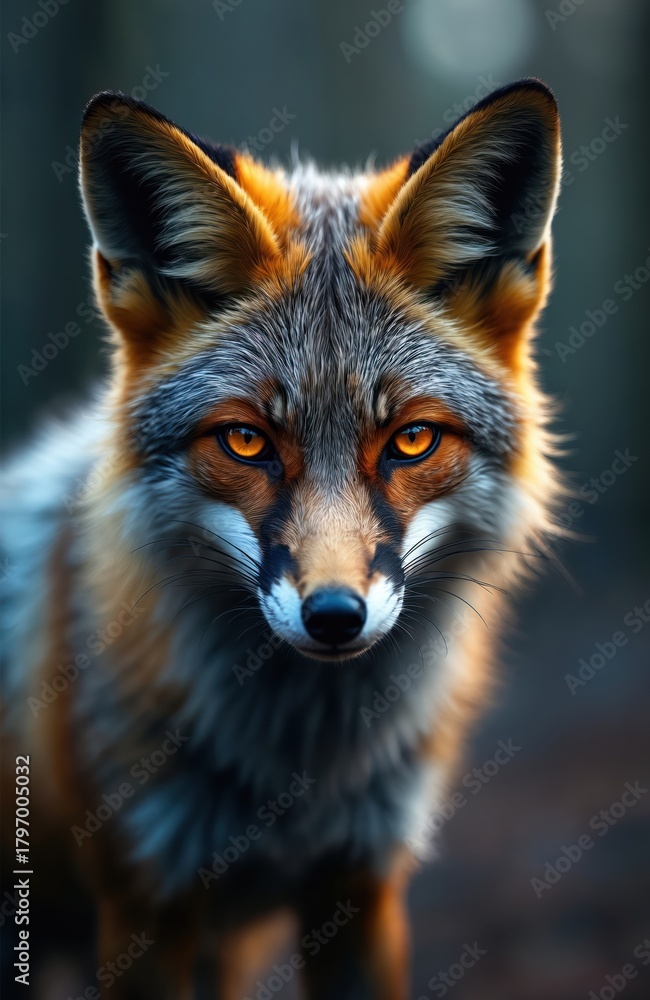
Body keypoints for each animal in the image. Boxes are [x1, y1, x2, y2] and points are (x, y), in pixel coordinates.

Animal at [1, 79, 564, 998]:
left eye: (411, 440)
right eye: (246, 442)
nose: (334, 615)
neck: (297, 780)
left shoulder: (360, 884)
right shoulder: (144, 891)